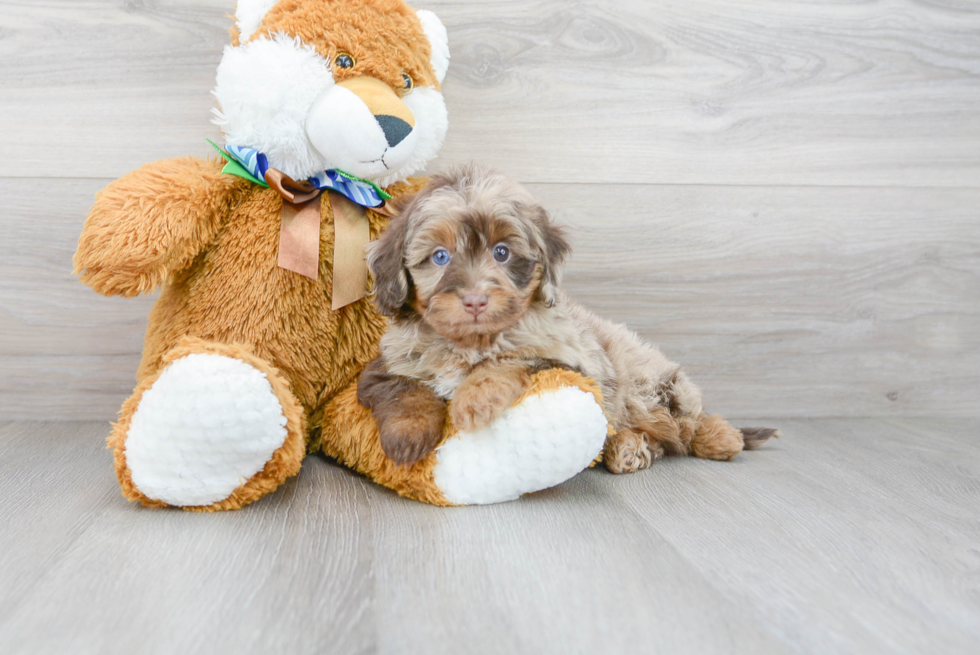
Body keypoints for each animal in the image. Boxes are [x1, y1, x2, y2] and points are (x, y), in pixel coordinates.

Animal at [356, 164, 776, 472]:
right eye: (440, 257)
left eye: (502, 252)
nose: (475, 300)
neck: (472, 342)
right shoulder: (386, 367)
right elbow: (407, 391)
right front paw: (407, 439)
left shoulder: (569, 363)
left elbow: (506, 361)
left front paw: (473, 400)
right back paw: (628, 448)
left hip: (648, 385)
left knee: (684, 422)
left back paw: (722, 438)